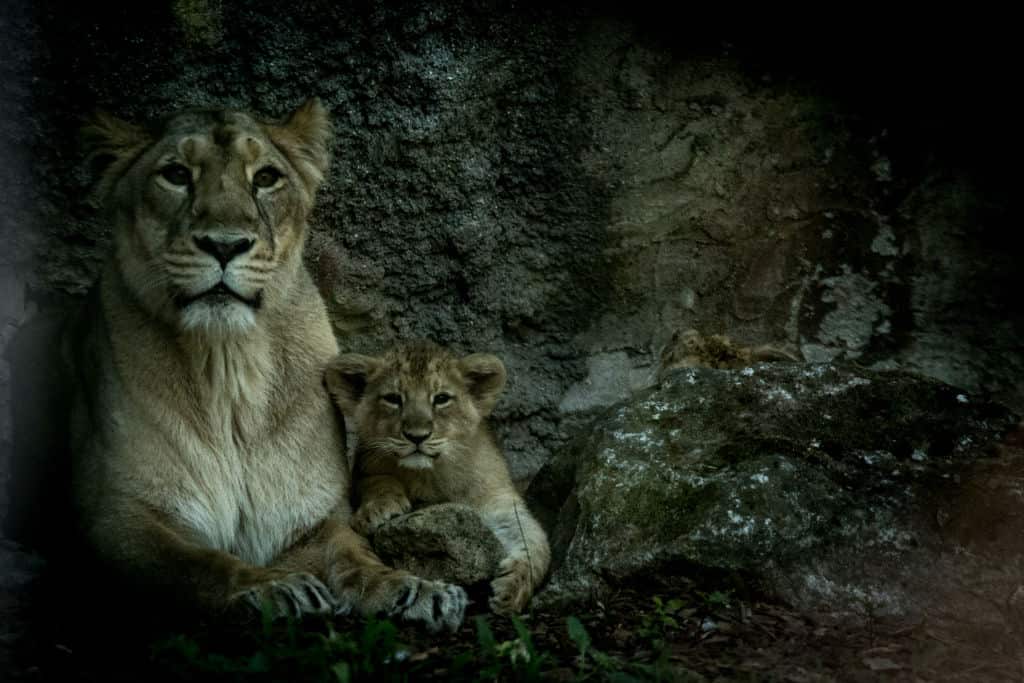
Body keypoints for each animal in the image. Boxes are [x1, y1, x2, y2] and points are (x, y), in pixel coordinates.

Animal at [68, 99, 466, 631]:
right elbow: (197, 562)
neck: (229, 363)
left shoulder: (311, 516)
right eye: (176, 174)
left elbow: (353, 555)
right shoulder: (117, 517)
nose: (224, 245)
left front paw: (415, 589)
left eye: (266, 178)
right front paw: (271, 587)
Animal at [325, 341, 551, 614]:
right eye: (393, 399)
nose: (417, 436)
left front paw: (513, 591)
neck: (428, 475)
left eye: (441, 399)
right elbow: (377, 480)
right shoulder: (363, 469)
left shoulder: (499, 501)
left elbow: (534, 540)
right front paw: (378, 510)